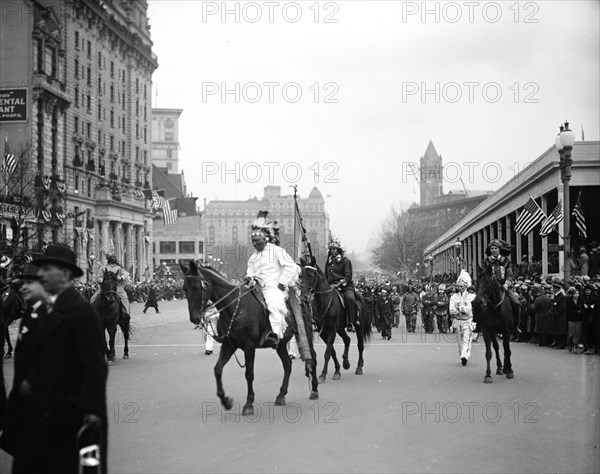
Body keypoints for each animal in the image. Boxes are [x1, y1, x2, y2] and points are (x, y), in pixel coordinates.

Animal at [179, 260, 316, 418]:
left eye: (196, 287)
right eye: (184, 288)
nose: (194, 318)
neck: (234, 307)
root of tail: (301, 299)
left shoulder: (249, 346)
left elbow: (249, 374)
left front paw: (249, 404)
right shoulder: (229, 345)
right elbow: (217, 369)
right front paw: (225, 400)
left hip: (306, 335)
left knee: (312, 358)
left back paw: (314, 390)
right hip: (281, 344)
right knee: (287, 365)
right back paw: (281, 395)